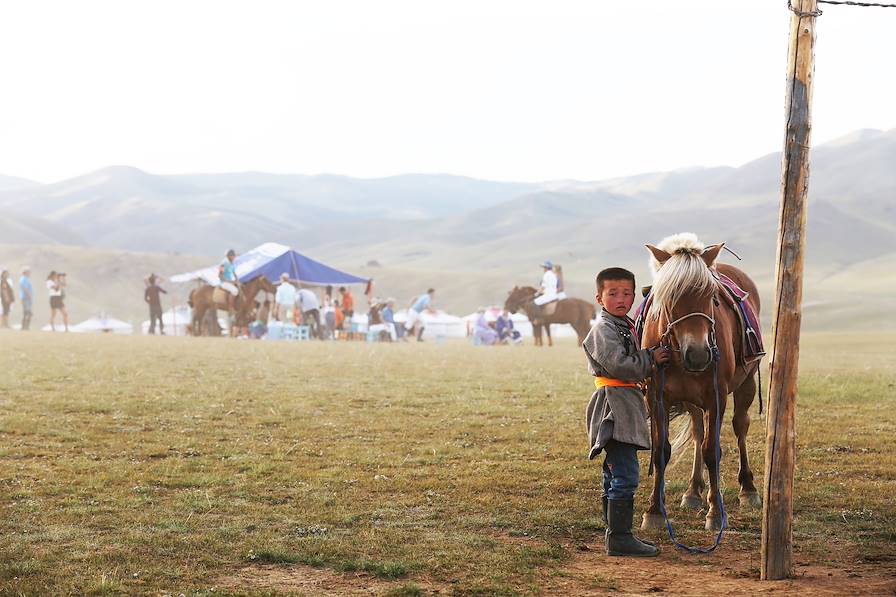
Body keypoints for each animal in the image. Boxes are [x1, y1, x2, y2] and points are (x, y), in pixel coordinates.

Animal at [640, 233, 760, 532]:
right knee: (697, 431)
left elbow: (712, 451)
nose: (697, 354)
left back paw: (748, 489)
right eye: (669, 298)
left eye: (712, 297)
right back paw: (693, 491)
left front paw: (716, 513)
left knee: (740, 427)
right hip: (692, 400)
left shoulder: (716, 396)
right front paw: (654, 511)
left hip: (747, 383)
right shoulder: (657, 397)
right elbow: (661, 451)